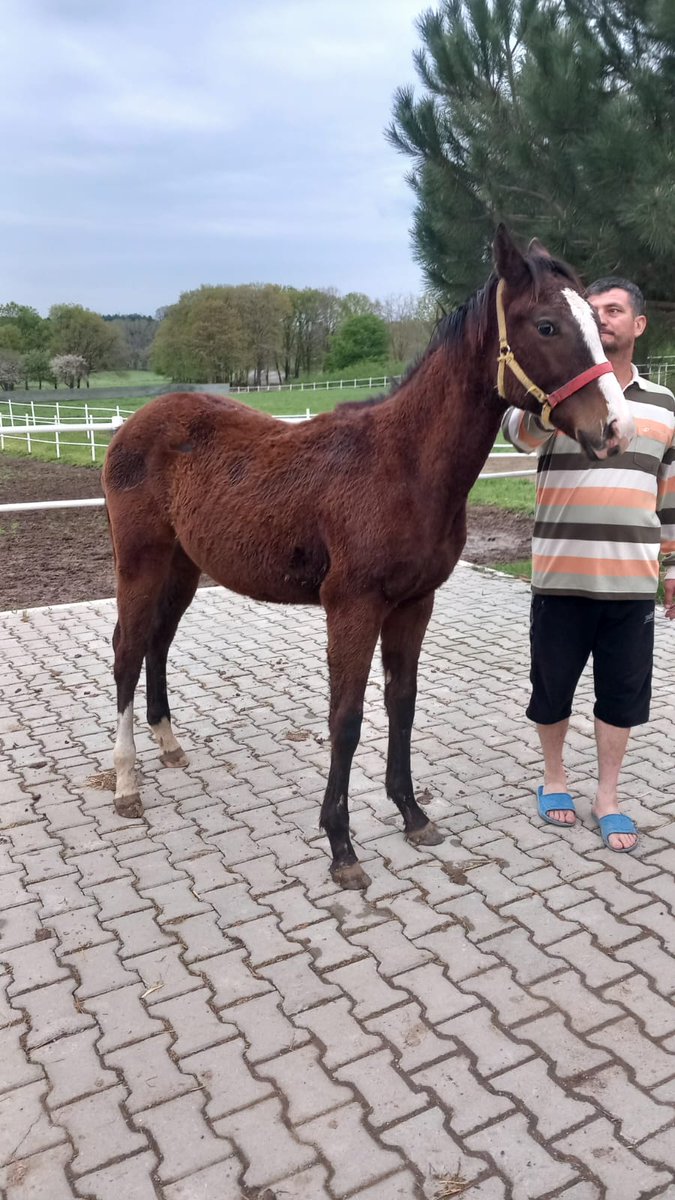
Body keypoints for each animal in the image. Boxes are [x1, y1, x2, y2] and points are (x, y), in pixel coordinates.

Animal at [102, 225, 635, 889]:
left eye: (597, 320)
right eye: (546, 326)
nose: (615, 429)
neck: (402, 464)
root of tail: (134, 425)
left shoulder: (413, 603)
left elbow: (400, 705)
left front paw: (411, 814)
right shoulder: (351, 607)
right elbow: (347, 718)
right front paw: (341, 846)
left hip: (182, 567)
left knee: (157, 642)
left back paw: (168, 744)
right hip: (140, 563)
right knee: (127, 651)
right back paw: (126, 782)